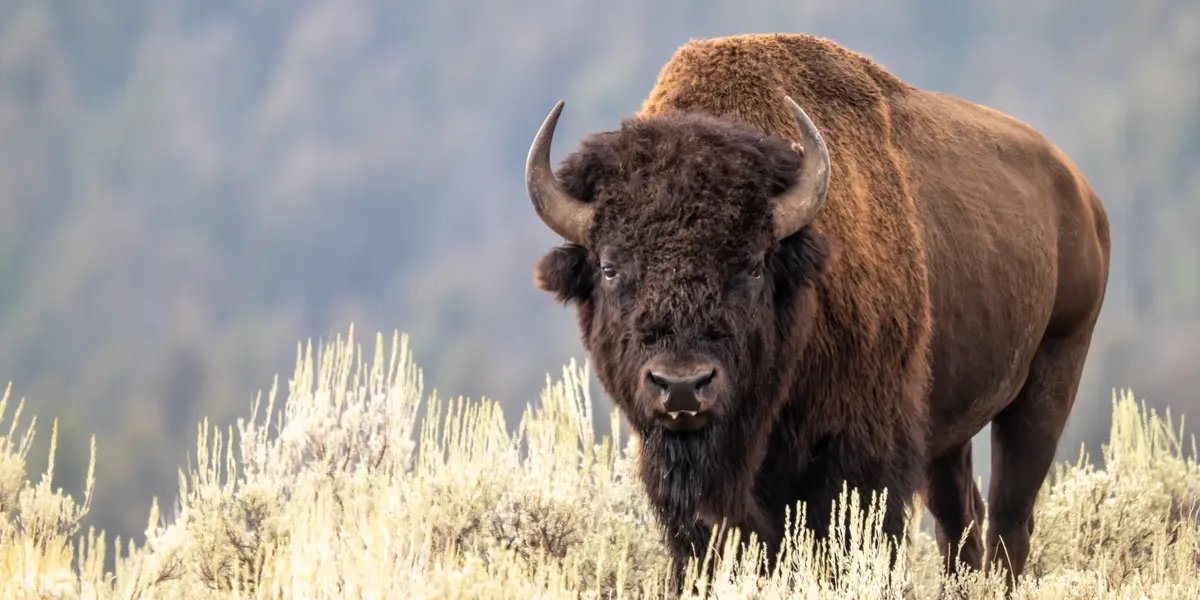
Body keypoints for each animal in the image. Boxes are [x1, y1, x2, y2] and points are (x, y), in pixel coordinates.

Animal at [525, 33, 1111, 592]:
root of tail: (1081, 195)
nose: (683, 386)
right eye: (609, 267)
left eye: (754, 265)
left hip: (1051, 377)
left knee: (1011, 520)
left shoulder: (863, 454)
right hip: (951, 426)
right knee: (960, 519)